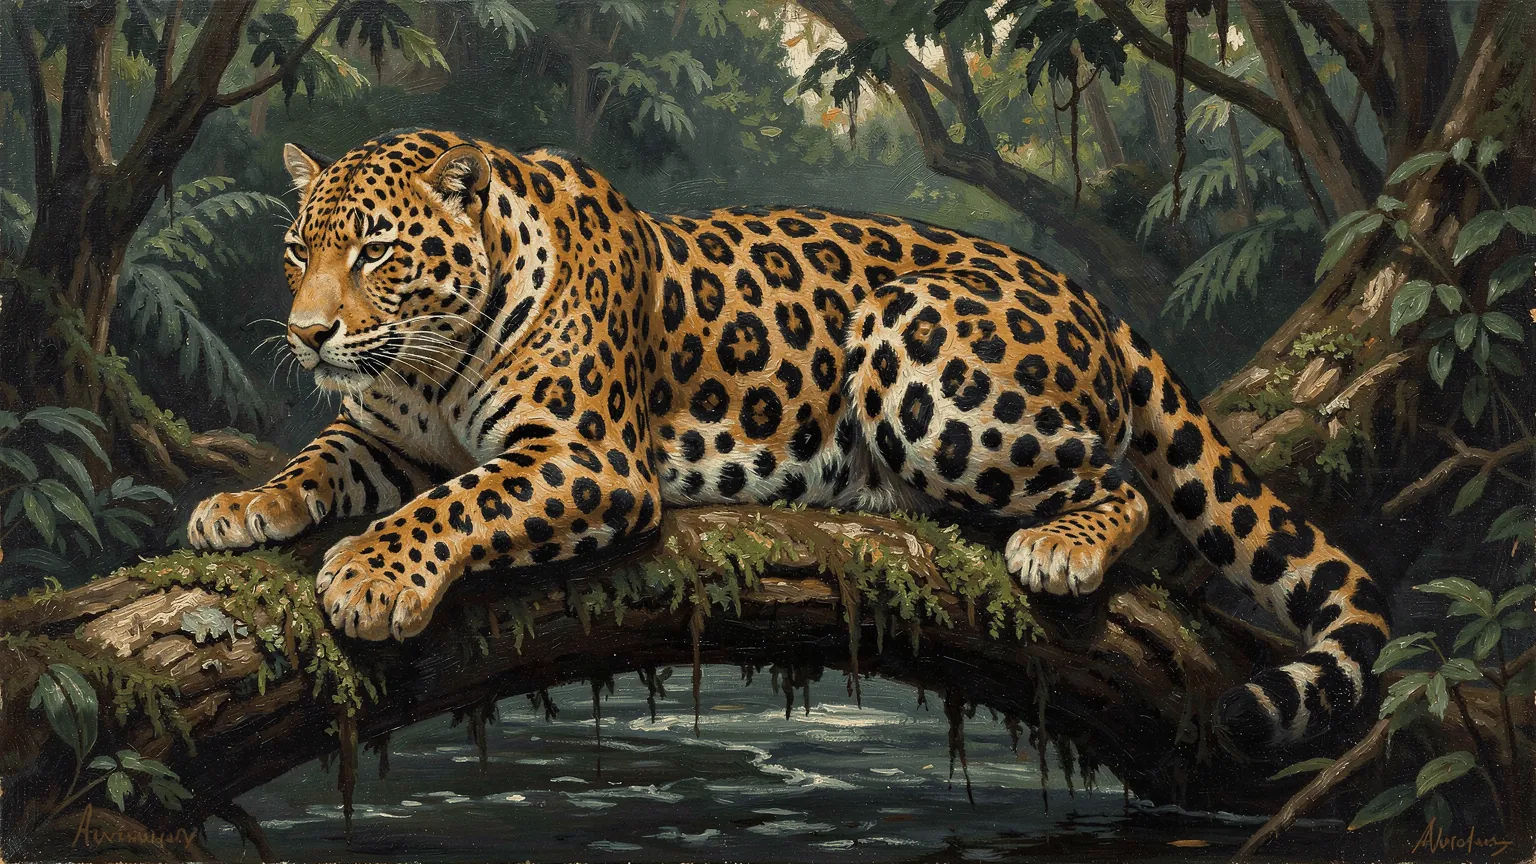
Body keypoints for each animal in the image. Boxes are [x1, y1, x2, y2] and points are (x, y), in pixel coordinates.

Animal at [188, 129, 1389, 755]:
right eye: (298, 252)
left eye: (378, 253)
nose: (305, 332)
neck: (428, 363)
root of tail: (1083, 292)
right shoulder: (387, 431)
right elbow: (324, 458)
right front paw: (242, 508)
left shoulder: (587, 457)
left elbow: (458, 499)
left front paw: (372, 577)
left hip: (913, 342)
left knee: (1115, 480)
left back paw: (1061, 545)